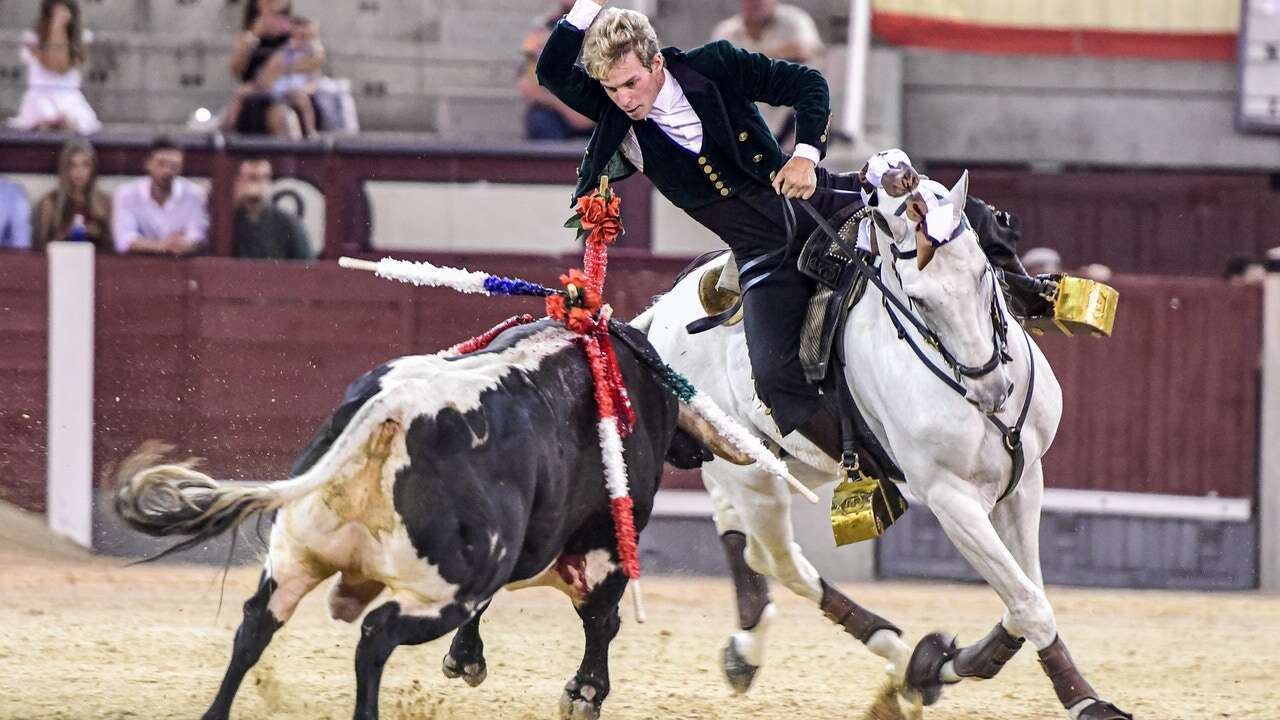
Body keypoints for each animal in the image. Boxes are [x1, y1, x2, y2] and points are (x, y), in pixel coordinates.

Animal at [117, 319, 747, 717]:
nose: (699, 452)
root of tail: (395, 409)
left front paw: (467, 661)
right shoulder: (606, 548)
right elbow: (601, 621)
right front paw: (584, 694)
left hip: (297, 554)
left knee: (254, 625)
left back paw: (216, 710)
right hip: (440, 588)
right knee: (376, 635)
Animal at [632, 174, 1131, 717]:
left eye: (984, 272)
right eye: (918, 299)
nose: (992, 389)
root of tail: (664, 311)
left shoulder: (1025, 479)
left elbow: (1025, 592)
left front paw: (936, 665)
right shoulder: (950, 498)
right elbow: (1030, 603)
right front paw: (1086, 701)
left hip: (800, 461)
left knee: (747, 540)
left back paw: (764, 650)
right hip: (753, 474)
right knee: (777, 559)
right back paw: (876, 645)